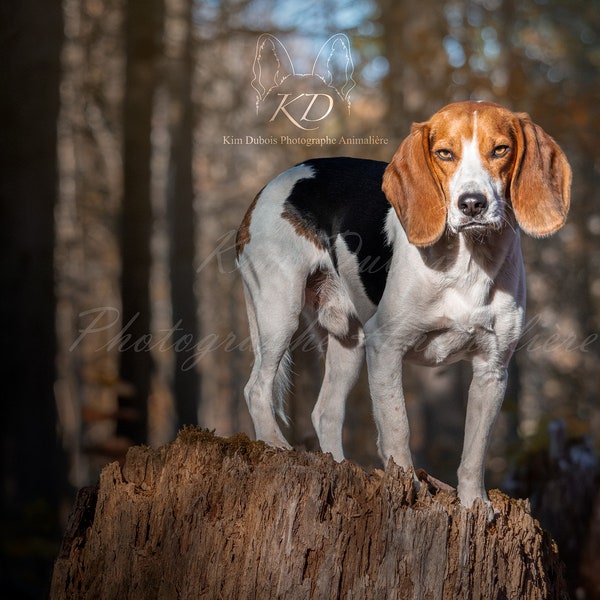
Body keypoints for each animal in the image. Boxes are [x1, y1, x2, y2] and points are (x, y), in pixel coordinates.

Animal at [236, 101, 572, 508]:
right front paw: (407, 486)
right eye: (444, 153)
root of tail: (268, 186)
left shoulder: (492, 369)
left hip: (349, 344)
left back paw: (339, 465)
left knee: (325, 413)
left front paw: (474, 504)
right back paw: (275, 444)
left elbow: (474, 451)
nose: (472, 204)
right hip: (279, 312)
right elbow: (398, 426)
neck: (469, 262)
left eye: (500, 150)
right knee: (256, 388)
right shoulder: (386, 347)